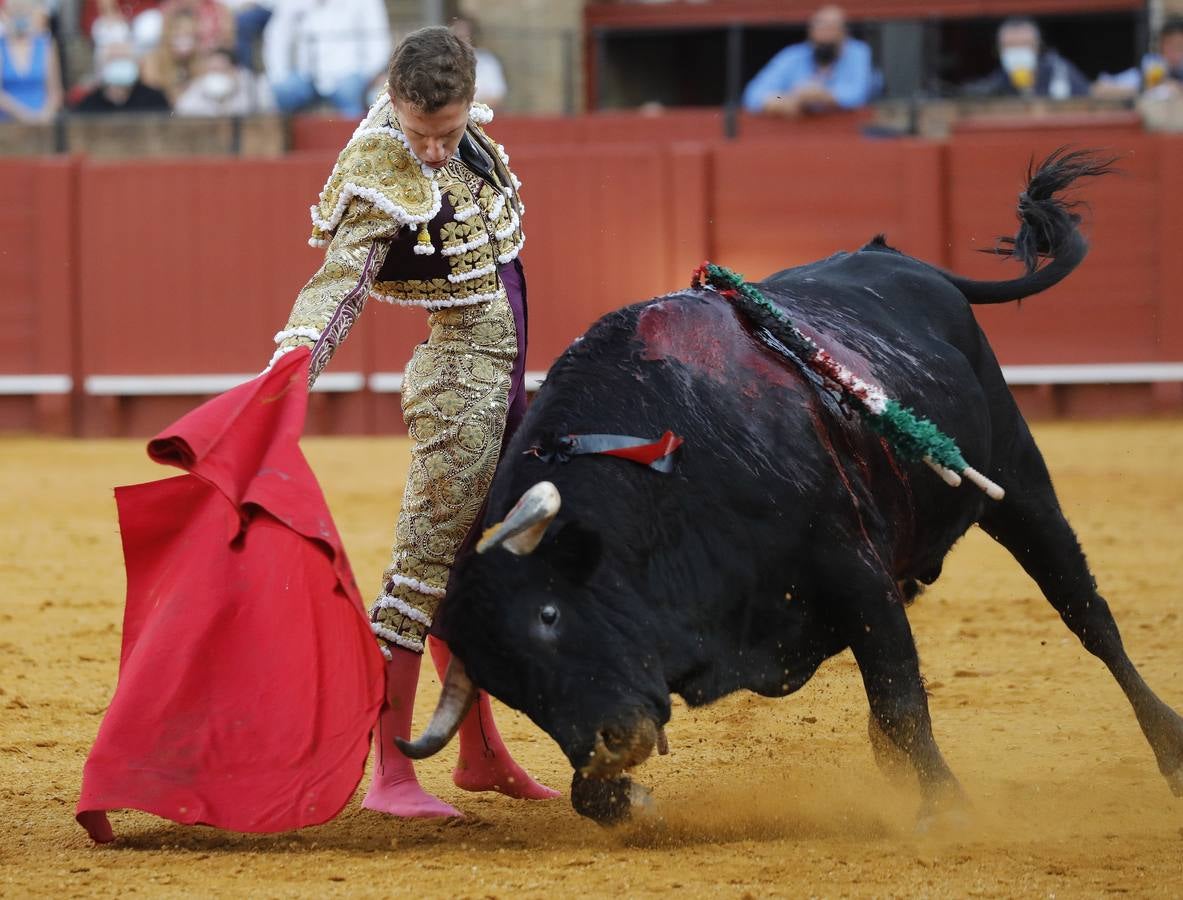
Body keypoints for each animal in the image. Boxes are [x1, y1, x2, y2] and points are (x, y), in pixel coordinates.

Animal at [402, 150, 1178, 823]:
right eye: (505, 684)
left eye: (549, 614)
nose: (607, 743)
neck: (663, 466)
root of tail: (907, 263)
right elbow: (590, 795)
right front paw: (628, 799)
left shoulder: (853, 571)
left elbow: (900, 698)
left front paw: (946, 809)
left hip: (1017, 481)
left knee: (1087, 613)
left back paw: (1168, 750)